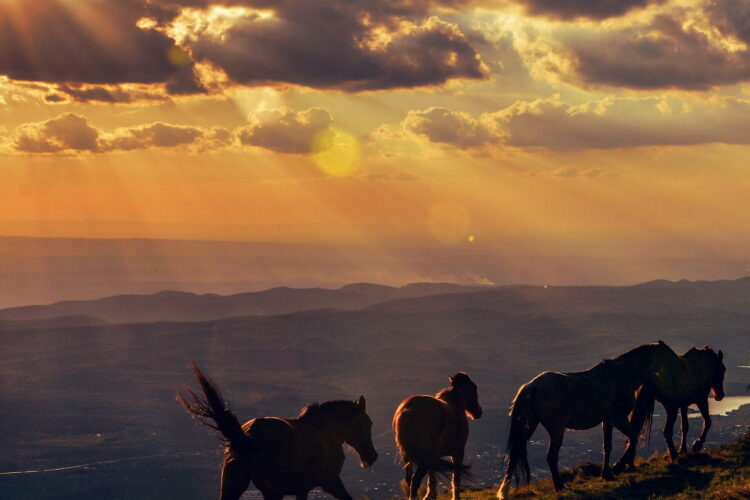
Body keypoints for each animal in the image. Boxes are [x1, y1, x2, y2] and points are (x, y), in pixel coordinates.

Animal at [178, 364, 378, 500]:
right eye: (368, 423)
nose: (372, 457)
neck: (327, 432)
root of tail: (248, 437)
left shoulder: (310, 486)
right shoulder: (325, 482)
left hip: (234, 486)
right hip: (272, 491)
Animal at [394, 372, 482, 500]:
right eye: (474, 387)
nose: (479, 412)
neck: (455, 405)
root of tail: (406, 411)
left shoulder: (434, 457)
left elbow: (432, 476)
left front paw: (430, 495)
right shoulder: (458, 452)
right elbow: (456, 478)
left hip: (408, 456)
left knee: (409, 479)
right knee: (415, 480)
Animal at [500, 340, 680, 496]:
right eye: (670, 356)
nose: (679, 371)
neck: (620, 376)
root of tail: (531, 386)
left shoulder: (607, 421)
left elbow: (608, 446)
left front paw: (607, 474)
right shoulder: (618, 418)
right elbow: (633, 438)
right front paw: (619, 465)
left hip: (529, 425)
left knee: (516, 453)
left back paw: (505, 491)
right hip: (556, 429)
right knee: (551, 456)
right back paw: (559, 487)